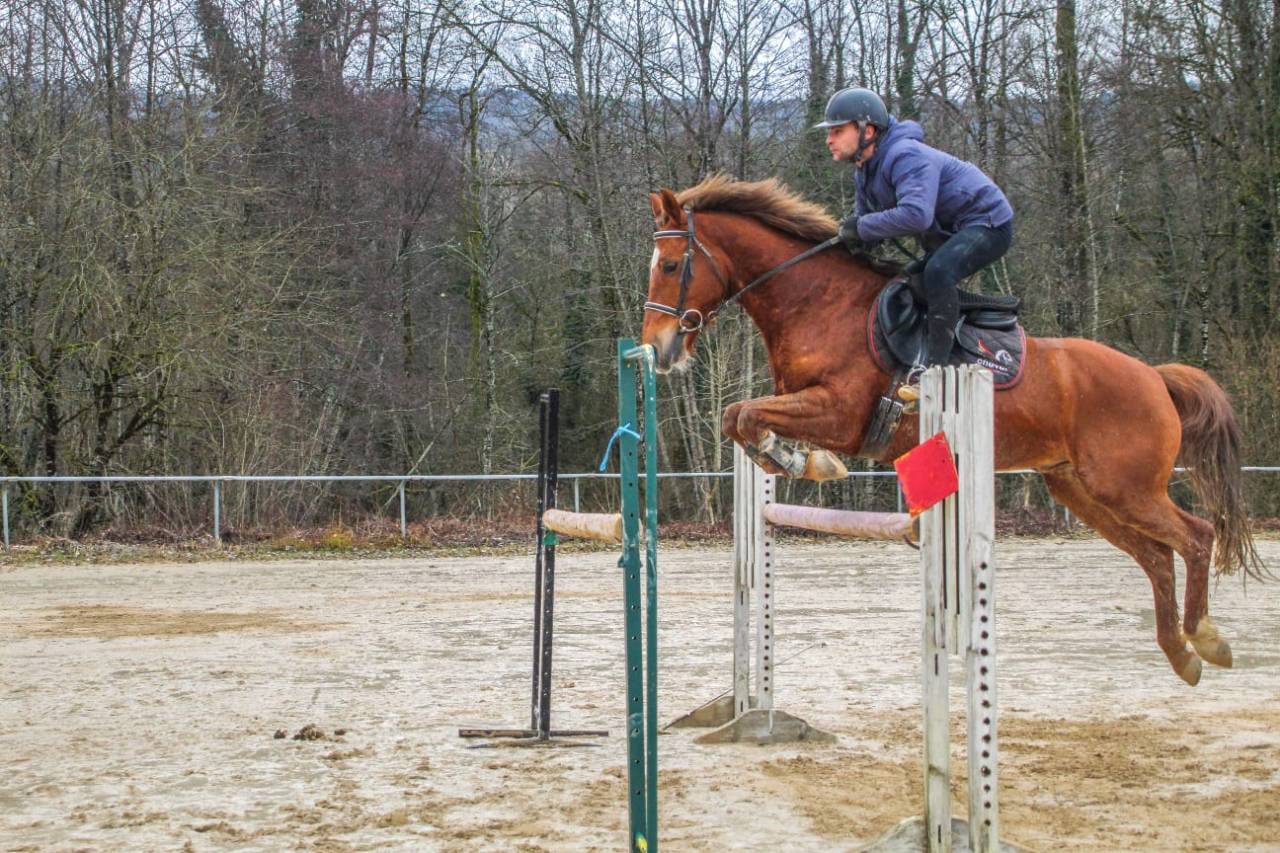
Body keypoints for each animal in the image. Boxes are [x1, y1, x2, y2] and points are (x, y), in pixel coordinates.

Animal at [640, 174, 1265, 686]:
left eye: (670, 267)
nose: (657, 350)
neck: (818, 303)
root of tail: (1154, 377)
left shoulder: (839, 412)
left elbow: (745, 415)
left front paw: (802, 460)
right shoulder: (806, 404)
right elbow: (737, 417)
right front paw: (798, 459)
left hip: (1126, 487)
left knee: (1195, 537)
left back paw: (1206, 637)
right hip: (1082, 491)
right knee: (1157, 557)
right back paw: (1180, 653)